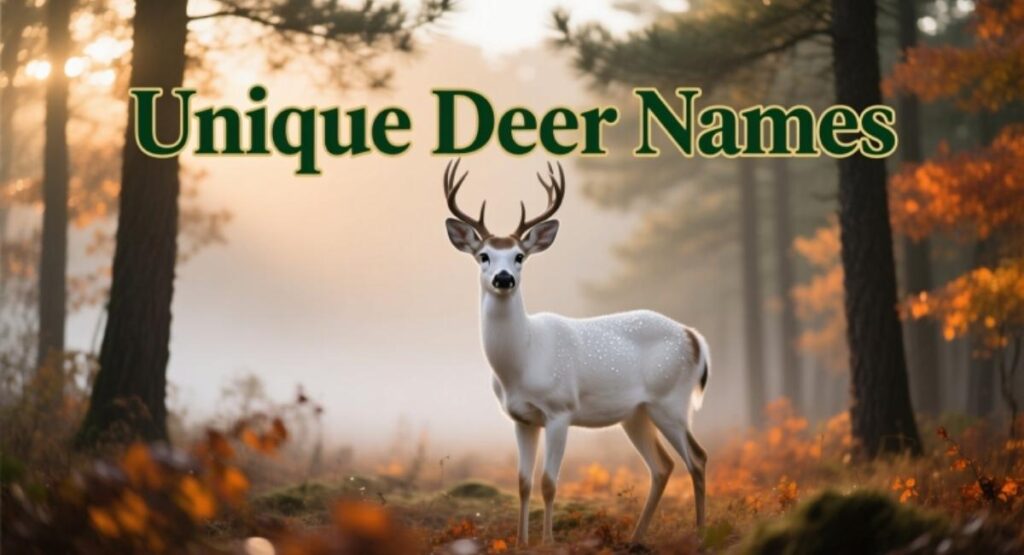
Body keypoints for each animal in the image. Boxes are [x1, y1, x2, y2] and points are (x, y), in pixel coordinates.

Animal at [442, 159, 710, 547]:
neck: (522, 361)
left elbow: (549, 483)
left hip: (671, 401)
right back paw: (634, 540)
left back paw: (701, 536)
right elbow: (523, 483)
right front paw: (521, 542)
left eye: (520, 256)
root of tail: (694, 337)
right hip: (637, 412)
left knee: (697, 459)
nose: (504, 278)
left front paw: (548, 542)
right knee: (663, 466)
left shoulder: (560, 410)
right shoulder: (521, 418)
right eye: (483, 256)